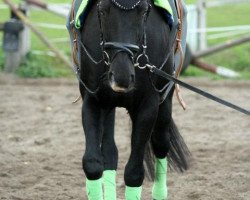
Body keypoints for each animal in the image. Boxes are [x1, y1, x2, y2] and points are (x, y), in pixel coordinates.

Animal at [68, 0, 189, 198]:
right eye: (102, 10)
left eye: (144, 11)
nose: (121, 77)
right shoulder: (93, 101)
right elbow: (93, 164)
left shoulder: (148, 106)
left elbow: (134, 173)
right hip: (108, 105)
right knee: (110, 153)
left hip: (165, 100)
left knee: (161, 143)